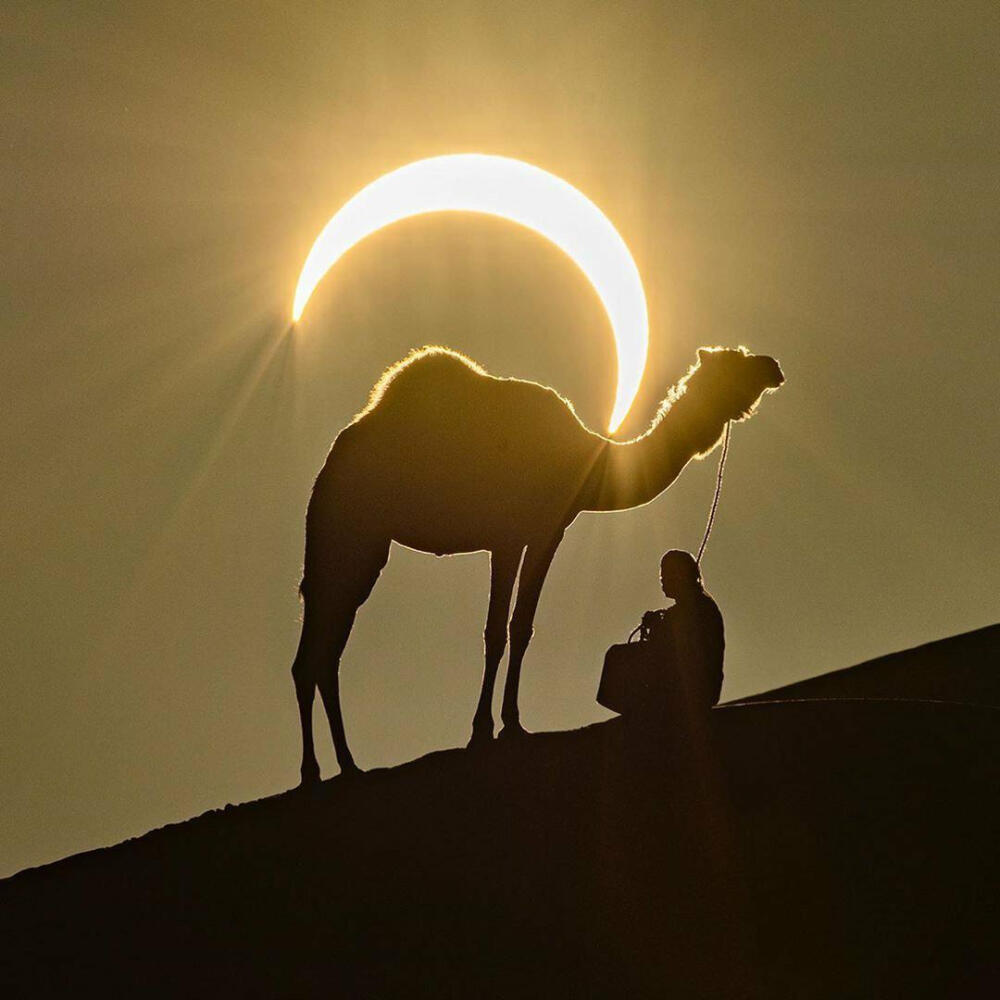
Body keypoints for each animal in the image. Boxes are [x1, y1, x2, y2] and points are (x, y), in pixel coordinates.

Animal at [292, 344, 784, 780]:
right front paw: (482, 732)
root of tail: (328, 465)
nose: (773, 367)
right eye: (734, 362)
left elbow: (522, 627)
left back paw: (345, 766)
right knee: (317, 647)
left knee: (324, 650)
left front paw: (512, 724)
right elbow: (495, 632)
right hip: (345, 532)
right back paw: (316, 771)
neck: (584, 459)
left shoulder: (548, 532)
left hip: (364, 546)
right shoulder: (507, 537)